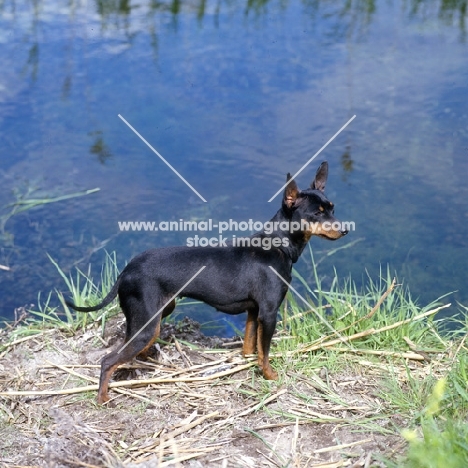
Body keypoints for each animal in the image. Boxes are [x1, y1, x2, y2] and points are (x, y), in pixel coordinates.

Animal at [68, 162, 348, 402]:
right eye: (316, 214)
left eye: (333, 208)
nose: (345, 229)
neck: (277, 245)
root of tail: (125, 271)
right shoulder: (269, 313)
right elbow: (265, 353)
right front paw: (270, 376)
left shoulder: (253, 311)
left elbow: (250, 344)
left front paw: (247, 361)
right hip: (147, 322)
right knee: (107, 361)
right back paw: (103, 398)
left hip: (156, 315)